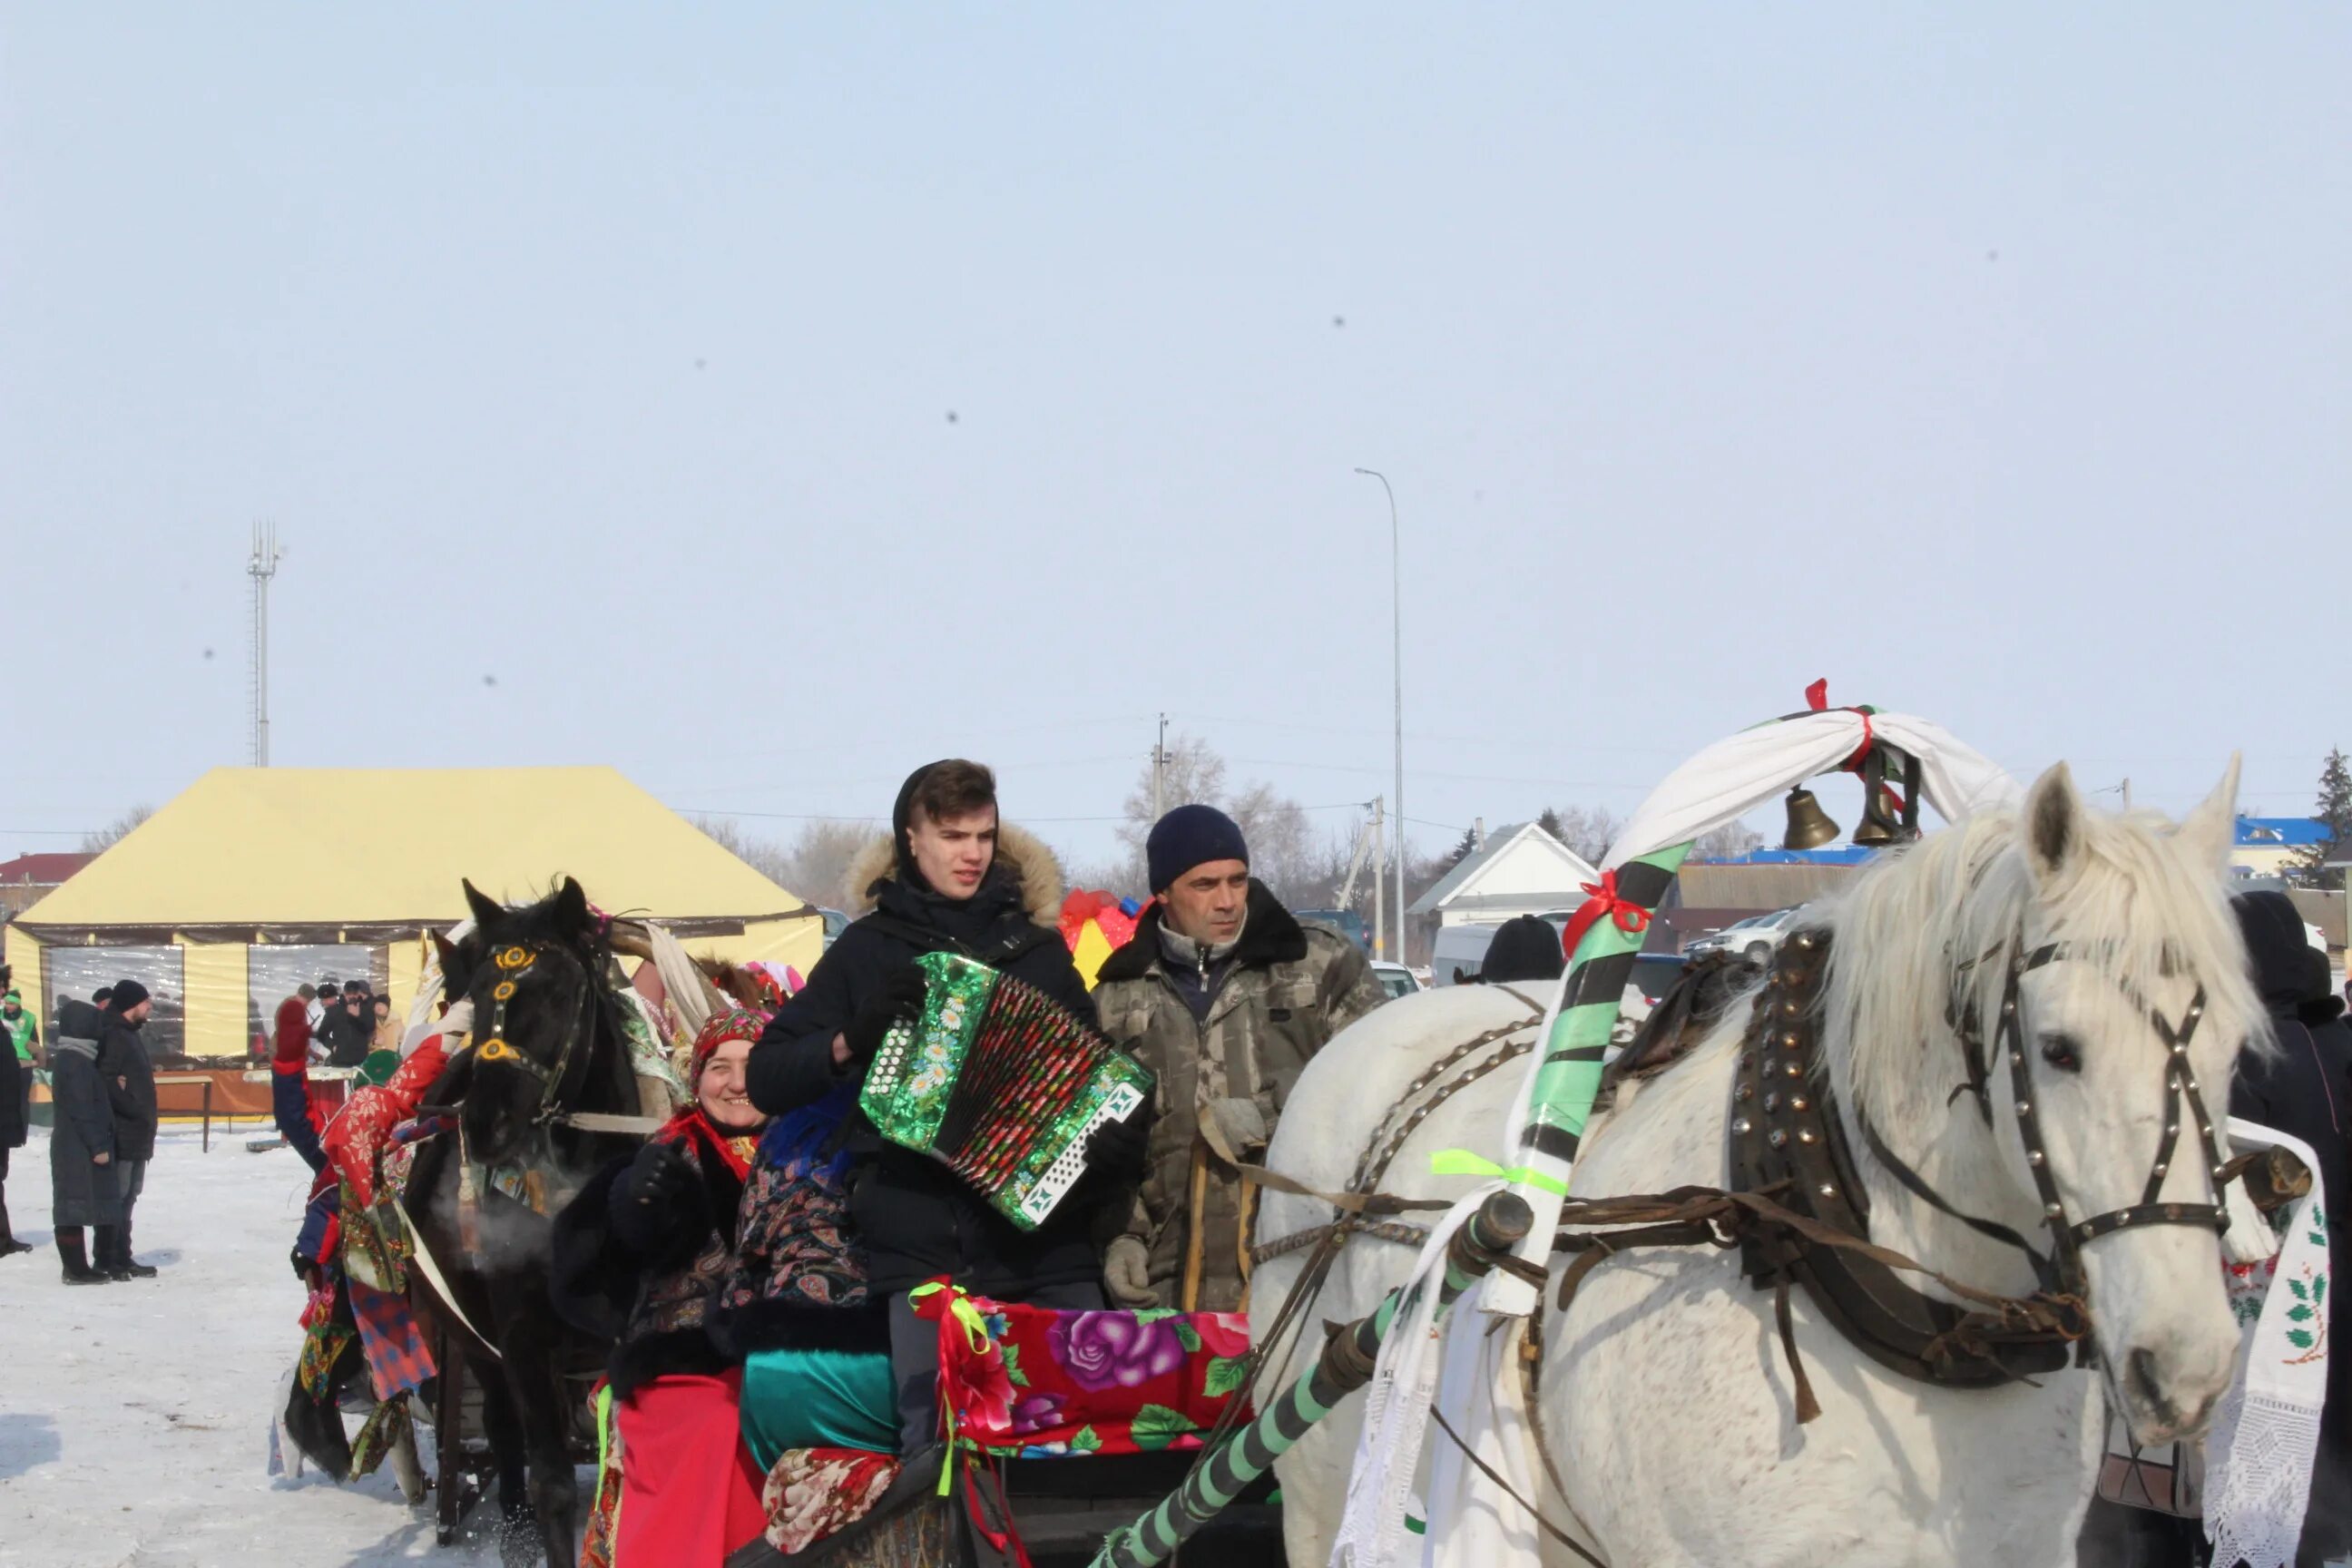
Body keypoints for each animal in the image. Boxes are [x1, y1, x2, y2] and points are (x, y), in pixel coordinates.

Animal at [402, 884, 644, 1568]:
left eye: (559, 993)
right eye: (481, 995)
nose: (485, 1121)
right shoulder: (521, 1337)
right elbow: (552, 1485)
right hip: (470, 1333)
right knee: (505, 1435)